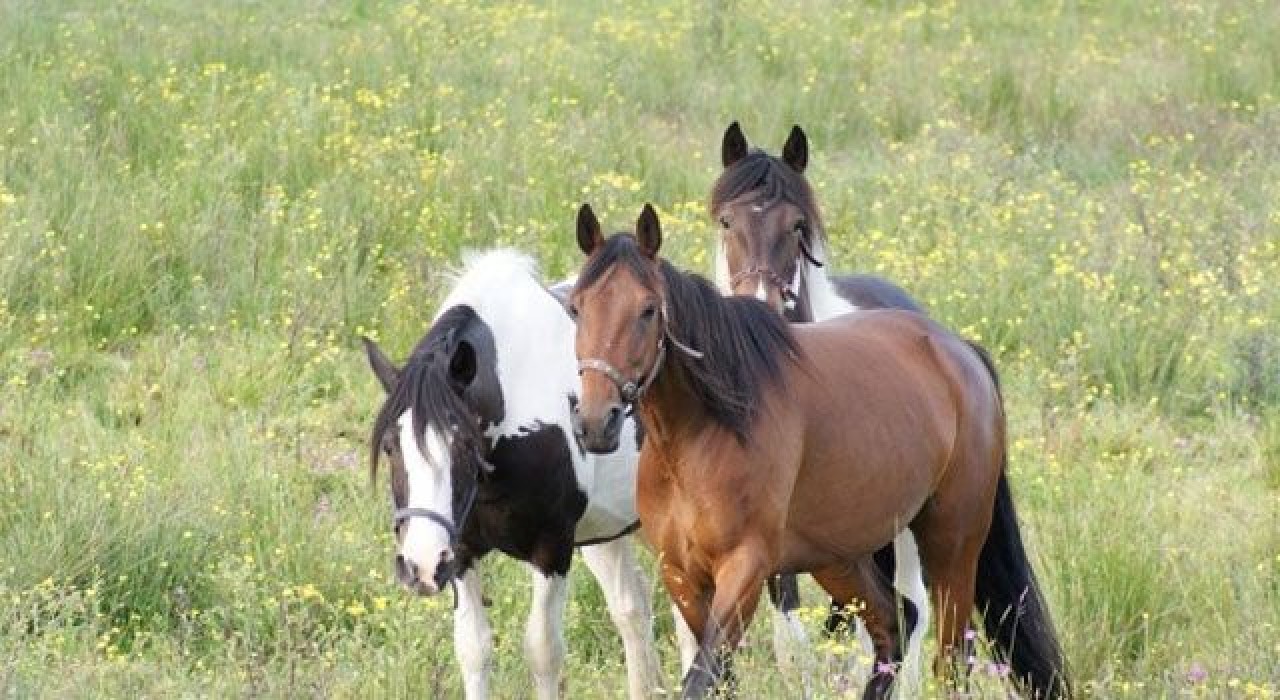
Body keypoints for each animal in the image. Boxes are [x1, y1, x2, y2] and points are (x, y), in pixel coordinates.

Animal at [570, 203, 1070, 700]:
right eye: (576, 307)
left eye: (648, 310)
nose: (596, 422)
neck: (701, 435)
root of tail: (960, 352)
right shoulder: (682, 575)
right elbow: (719, 678)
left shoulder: (745, 568)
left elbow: (702, 677)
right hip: (840, 558)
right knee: (894, 625)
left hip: (952, 545)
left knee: (950, 659)